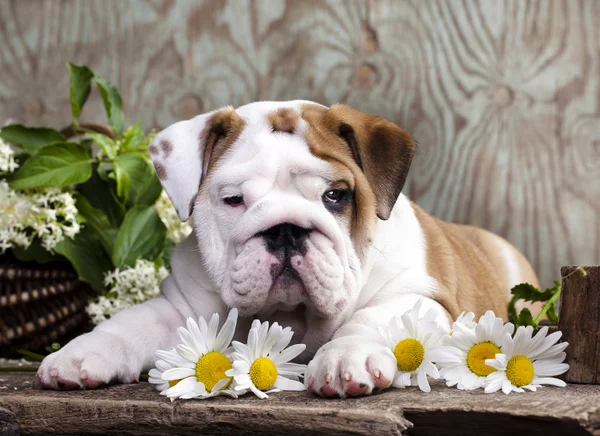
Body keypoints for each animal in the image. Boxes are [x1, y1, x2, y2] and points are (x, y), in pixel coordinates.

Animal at [36, 100, 540, 396]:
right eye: (233, 199)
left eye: (336, 195)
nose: (285, 230)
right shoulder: (181, 309)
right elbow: (130, 324)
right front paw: (82, 352)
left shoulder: (418, 296)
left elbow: (373, 319)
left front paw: (343, 358)